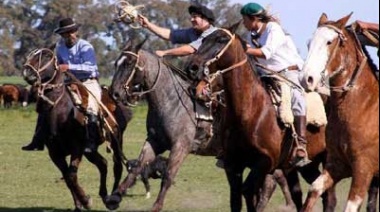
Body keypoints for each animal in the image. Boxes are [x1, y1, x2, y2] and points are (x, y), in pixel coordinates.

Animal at [22, 47, 133, 211]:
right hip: (90, 150)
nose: (27, 72)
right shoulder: (55, 153)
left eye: (47, 56)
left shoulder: (76, 149)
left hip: (116, 140)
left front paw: (86, 201)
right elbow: (68, 178)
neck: (59, 114)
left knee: (117, 165)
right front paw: (80, 204)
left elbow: (71, 175)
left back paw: (113, 199)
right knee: (103, 164)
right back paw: (104, 195)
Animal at [189, 29, 334, 211]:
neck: (249, 110)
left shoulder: (265, 162)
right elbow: (237, 199)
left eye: (221, 40)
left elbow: (250, 192)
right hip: (307, 166)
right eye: (203, 39)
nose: (192, 67)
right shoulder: (232, 165)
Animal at [302, 13, 378, 212]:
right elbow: (314, 189)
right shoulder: (337, 164)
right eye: (309, 43)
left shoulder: (363, 170)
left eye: (329, 42)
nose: (306, 78)